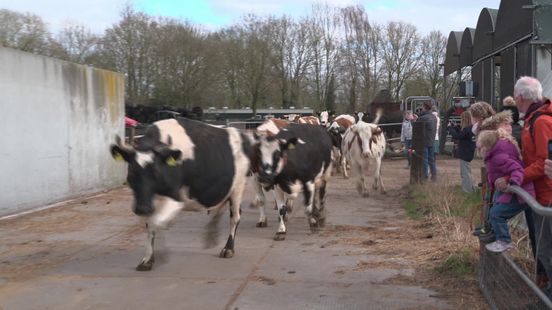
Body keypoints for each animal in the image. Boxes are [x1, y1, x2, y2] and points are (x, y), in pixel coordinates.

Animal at [110, 117, 252, 270]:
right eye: (131, 173)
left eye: (156, 173)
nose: (141, 209)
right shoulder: (149, 200)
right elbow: (151, 225)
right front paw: (147, 259)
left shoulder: (175, 198)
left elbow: (157, 222)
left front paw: (161, 255)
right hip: (225, 189)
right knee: (220, 207)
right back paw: (211, 235)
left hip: (238, 187)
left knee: (235, 216)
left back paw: (228, 248)